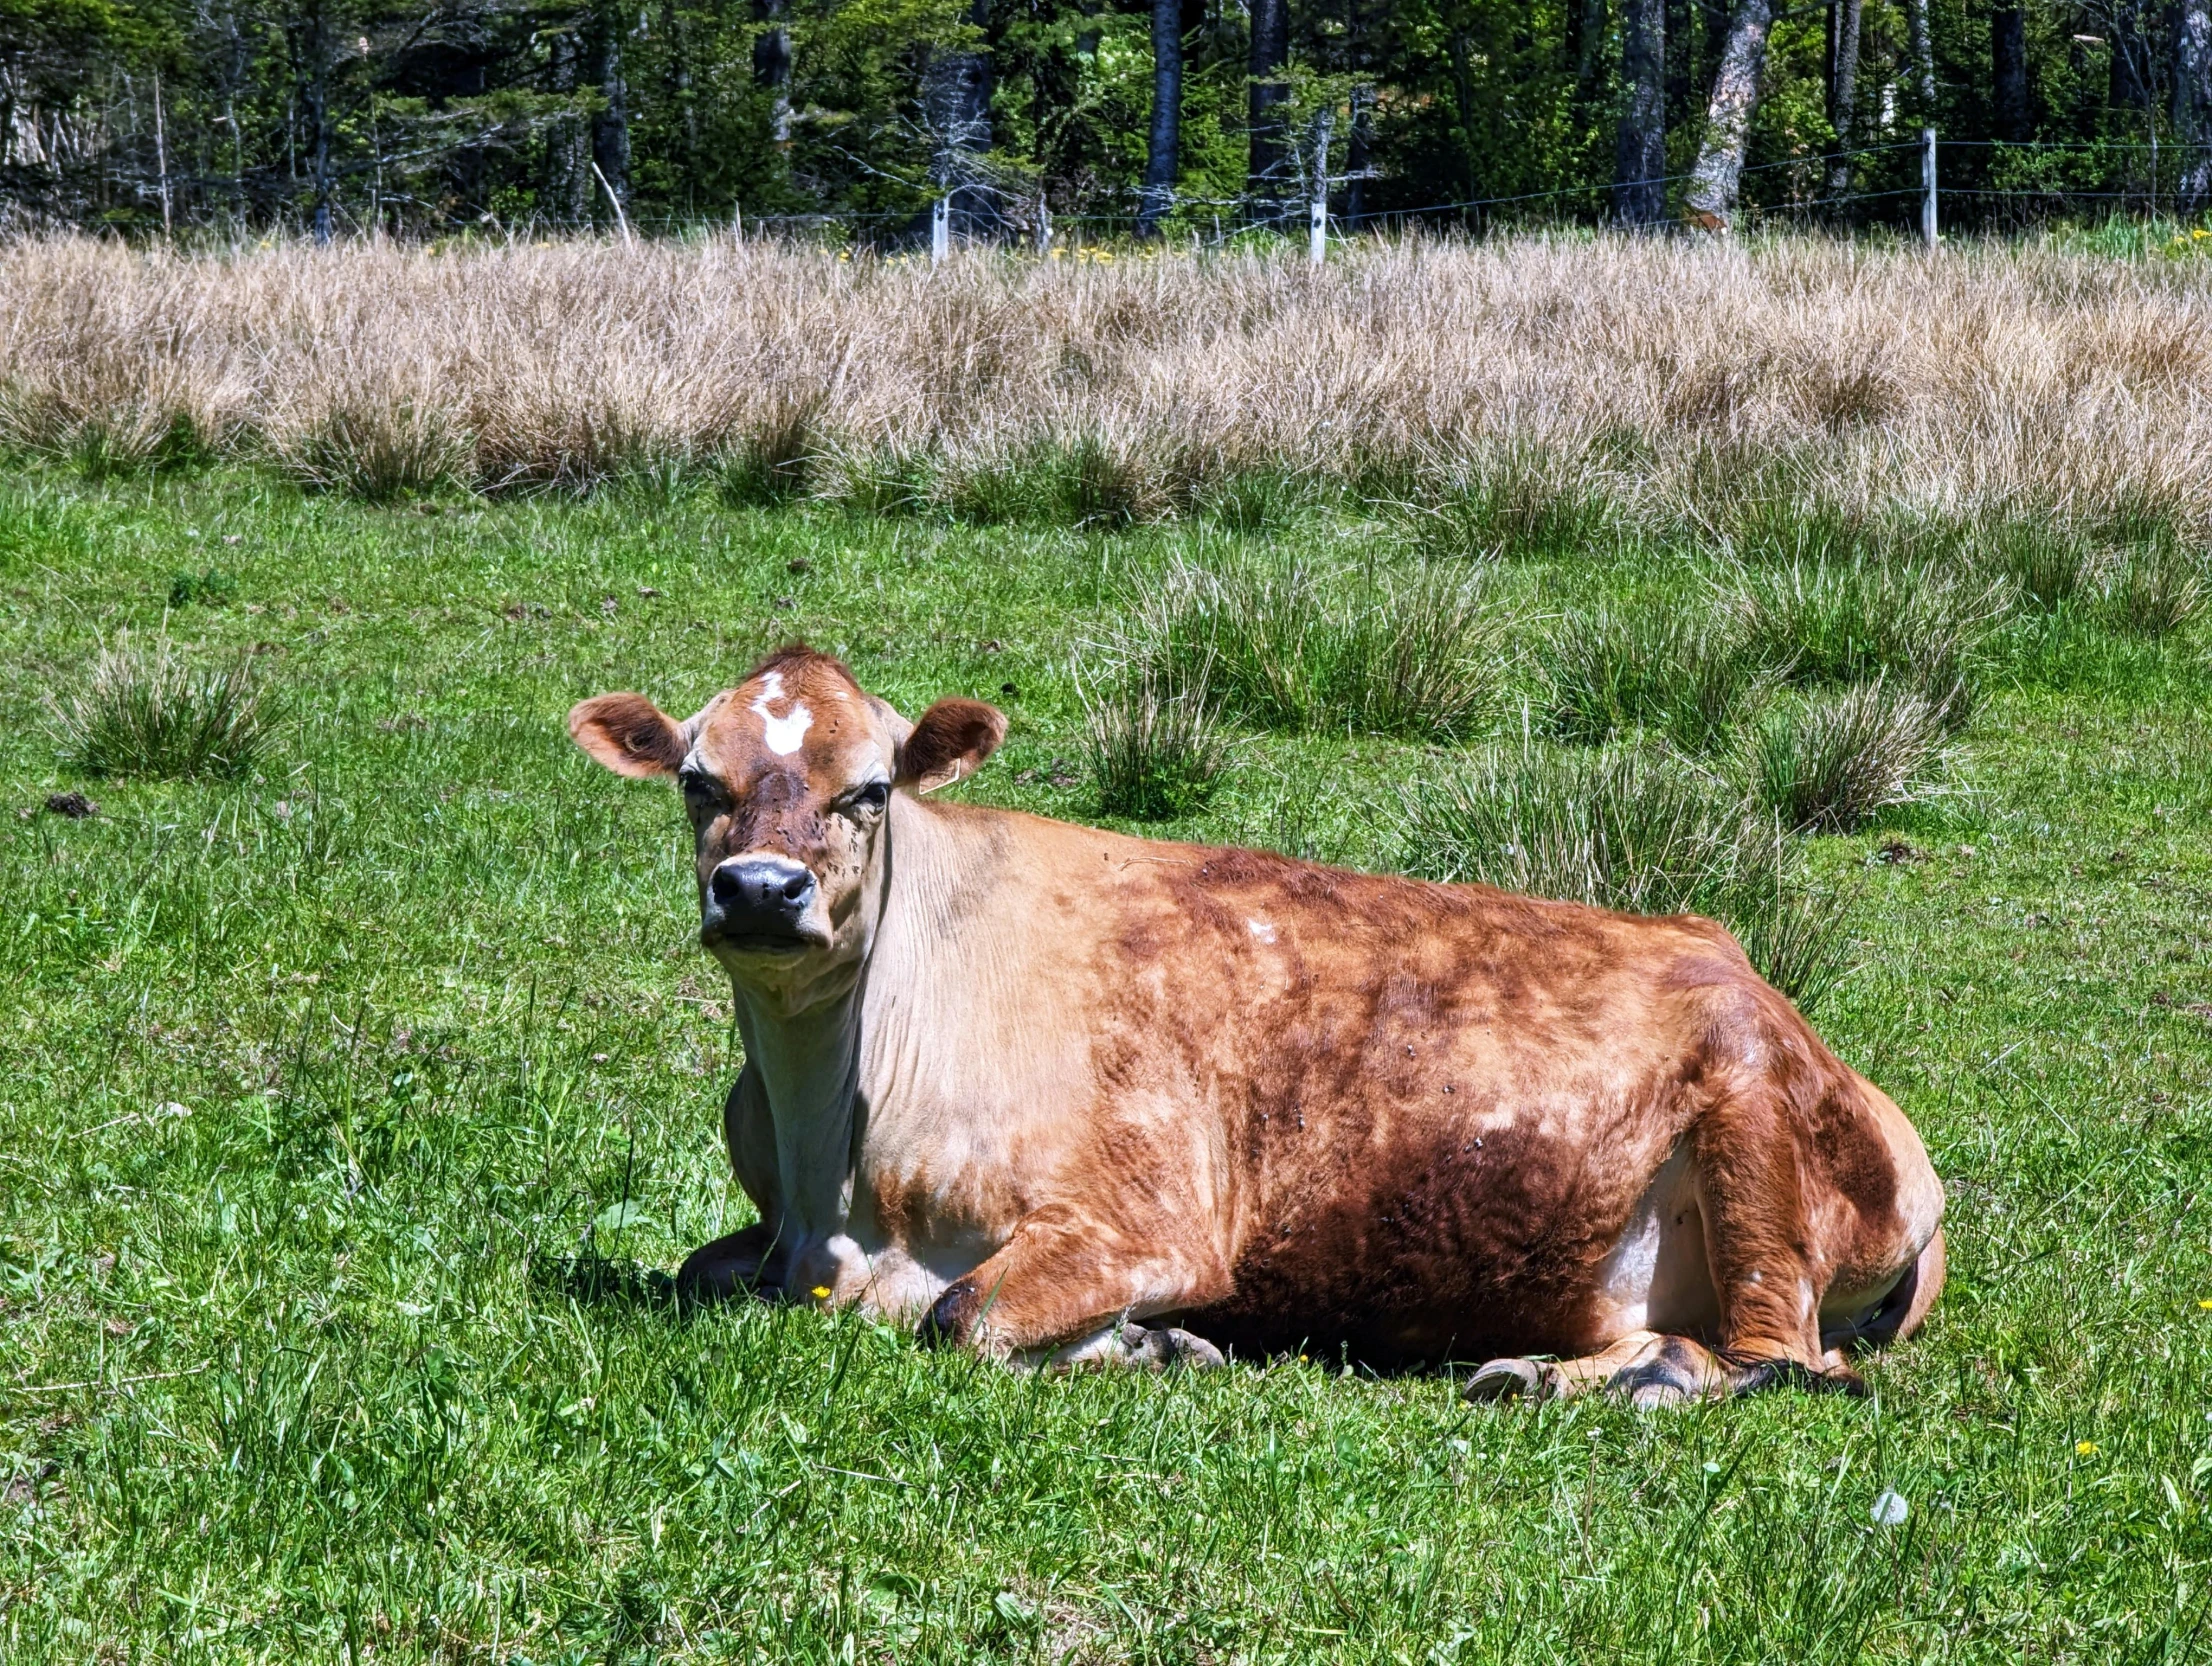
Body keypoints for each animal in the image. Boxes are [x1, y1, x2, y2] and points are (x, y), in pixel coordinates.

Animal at [566, 641, 1937, 1398]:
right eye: (698, 781)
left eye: (866, 792)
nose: (759, 890)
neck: (832, 1178)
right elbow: (700, 1271)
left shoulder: (1146, 1219)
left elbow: (960, 1317)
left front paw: (1155, 1348)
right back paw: (1538, 1372)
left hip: (1754, 1133)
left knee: (1785, 1360)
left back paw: (1615, 1380)